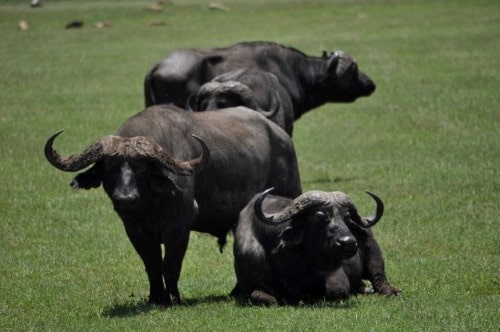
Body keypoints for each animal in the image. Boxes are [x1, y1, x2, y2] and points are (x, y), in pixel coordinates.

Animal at [44, 105, 300, 304]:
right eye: (110, 169)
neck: (151, 205)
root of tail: (282, 137)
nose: (125, 199)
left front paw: (174, 298)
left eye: (140, 169)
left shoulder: (179, 227)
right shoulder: (134, 229)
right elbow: (152, 264)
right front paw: (156, 298)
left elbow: (171, 264)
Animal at [230, 188, 398, 304]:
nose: (349, 242)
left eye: (346, 217)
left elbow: (337, 290)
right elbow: (261, 296)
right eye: (319, 216)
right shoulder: (248, 286)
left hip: (375, 255)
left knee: (379, 278)